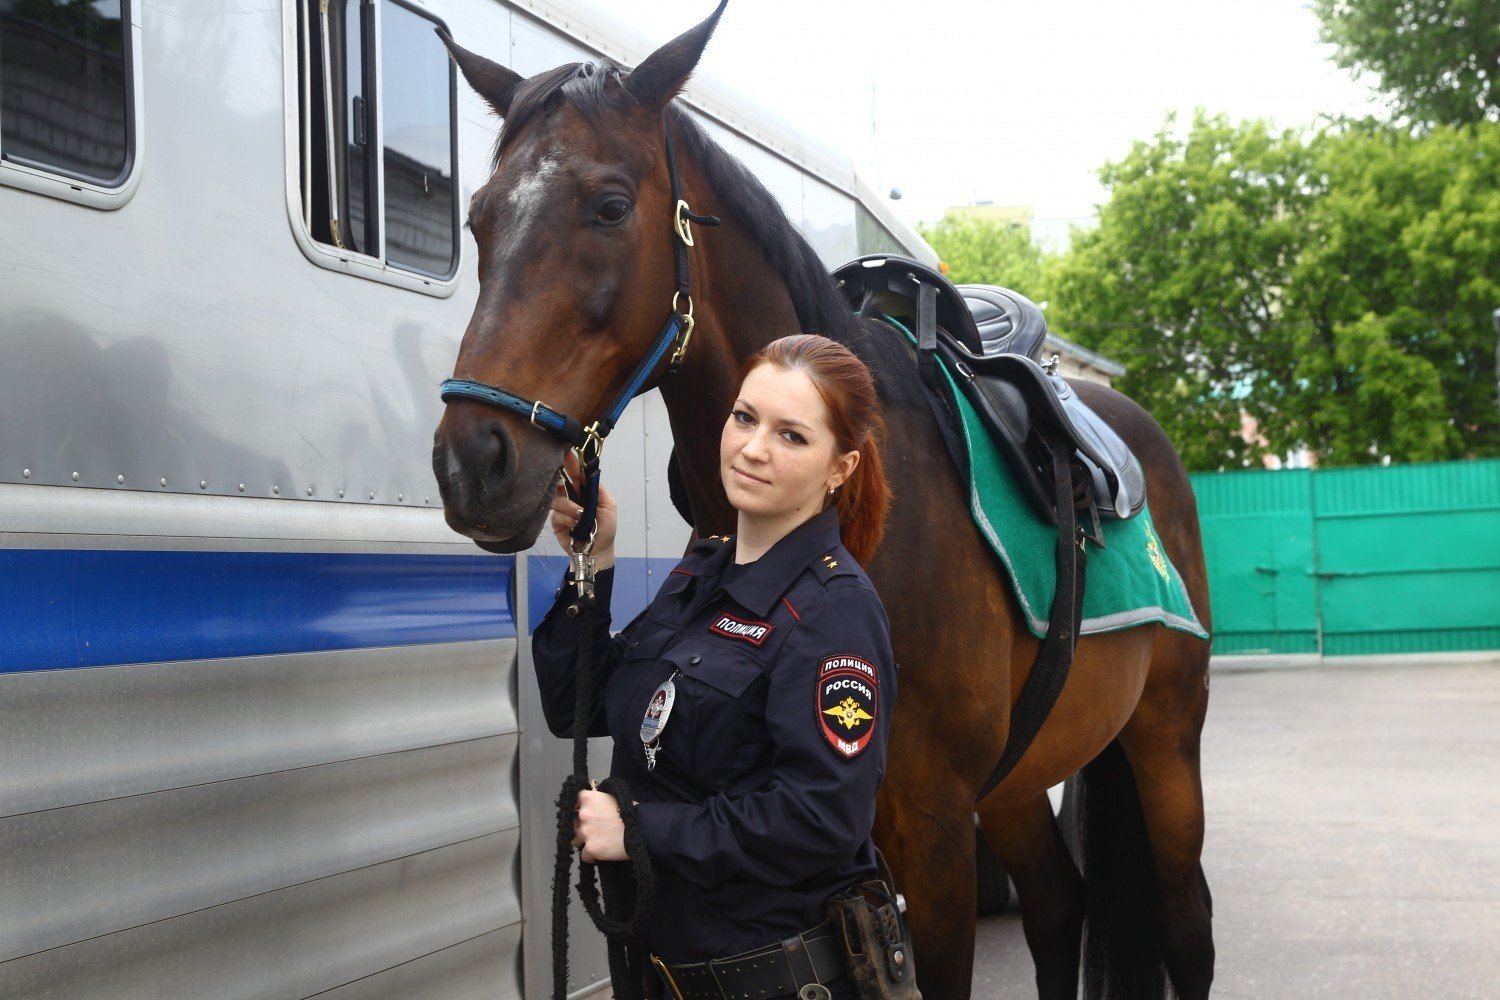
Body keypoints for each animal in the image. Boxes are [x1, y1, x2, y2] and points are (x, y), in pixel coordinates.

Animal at [432, 3, 1218, 995]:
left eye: (609, 205)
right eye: (478, 218)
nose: (472, 461)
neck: (866, 510)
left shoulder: (931, 840)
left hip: (1165, 744)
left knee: (1186, 925)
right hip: (1016, 783)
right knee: (1057, 907)